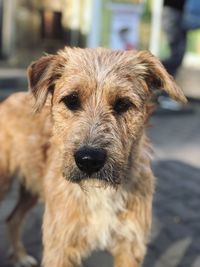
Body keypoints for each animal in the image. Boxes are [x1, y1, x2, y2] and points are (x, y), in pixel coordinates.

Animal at [0, 47, 186, 266]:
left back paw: (20, 255)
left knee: (13, 218)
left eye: (123, 104)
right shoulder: (59, 246)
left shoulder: (131, 245)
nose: (89, 160)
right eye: (71, 101)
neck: (99, 191)